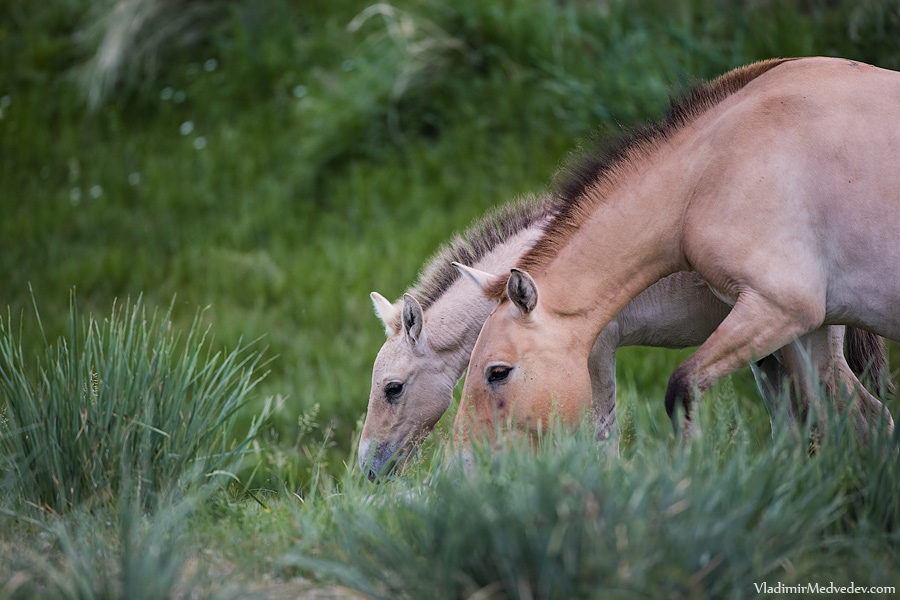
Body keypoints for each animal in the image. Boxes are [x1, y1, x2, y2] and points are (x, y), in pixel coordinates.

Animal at [460, 58, 900, 442]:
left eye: (497, 372)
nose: (469, 457)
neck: (708, 171)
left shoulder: (778, 307)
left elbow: (681, 389)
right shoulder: (806, 327)